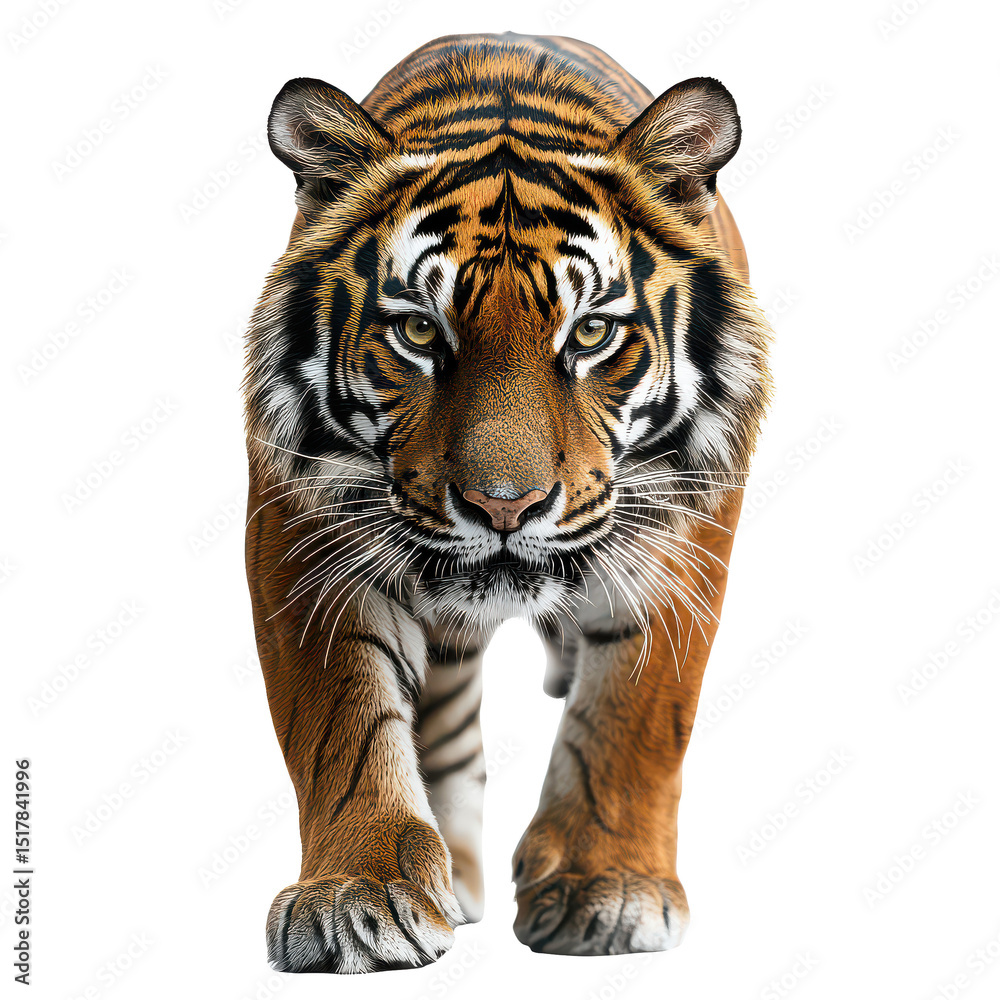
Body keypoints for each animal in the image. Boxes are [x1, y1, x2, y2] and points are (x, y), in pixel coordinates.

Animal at [243, 32, 771, 973]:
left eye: (591, 333)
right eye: (419, 331)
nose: (503, 506)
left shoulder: (681, 535)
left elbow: (635, 715)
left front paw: (609, 889)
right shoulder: (301, 531)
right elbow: (343, 718)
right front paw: (355, 895)